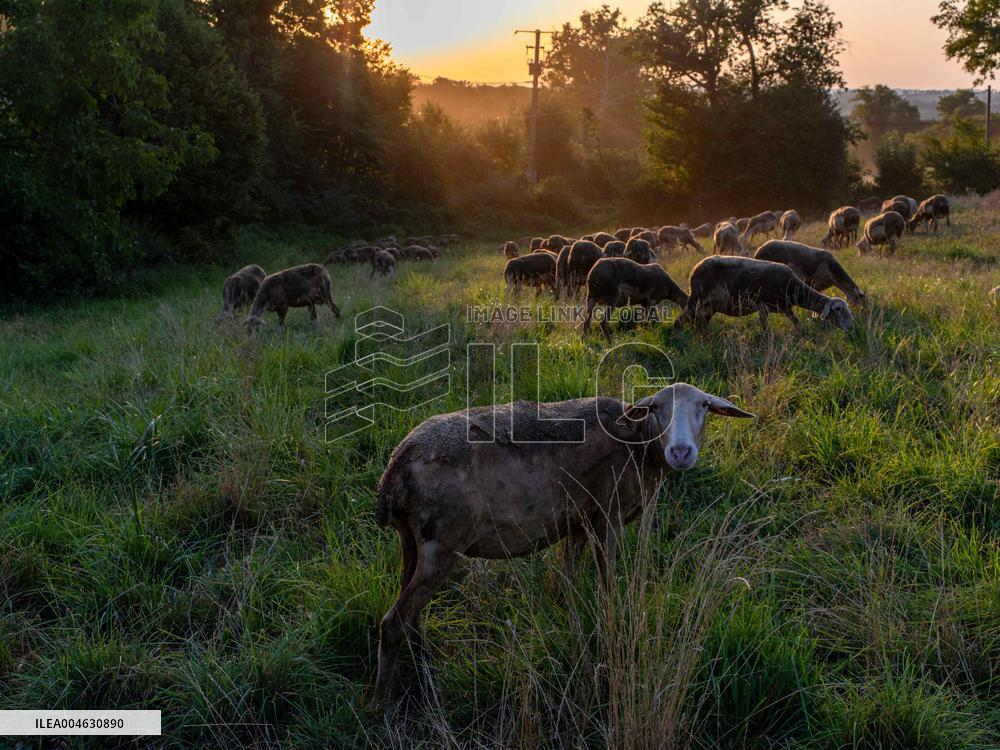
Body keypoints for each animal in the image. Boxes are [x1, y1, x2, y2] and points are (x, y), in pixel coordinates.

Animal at [373, 382, 754, 702]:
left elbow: (566, 582)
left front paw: (570, 627)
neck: (639, 445)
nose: (680, 451)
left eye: (703, 405)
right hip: (441, 545)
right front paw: (612, 628)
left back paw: (423, 668)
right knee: (393, 622)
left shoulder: (577, 523)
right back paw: (383, 703)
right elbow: (607, 584)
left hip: (412, 541)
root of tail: (396, 467)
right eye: (657, 407)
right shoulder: (608, 515)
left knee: (410, 614)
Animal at [675, 256, 854, 333]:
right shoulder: (763, 305)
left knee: (700, 320)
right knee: (681, 319)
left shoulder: (784, 307)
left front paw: (800, 333)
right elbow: (765, 326)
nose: (851, 328)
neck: (792, 288)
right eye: (838, 310)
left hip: (709, 305)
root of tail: (694, 269)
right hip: (696, 298)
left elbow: (795, 321)